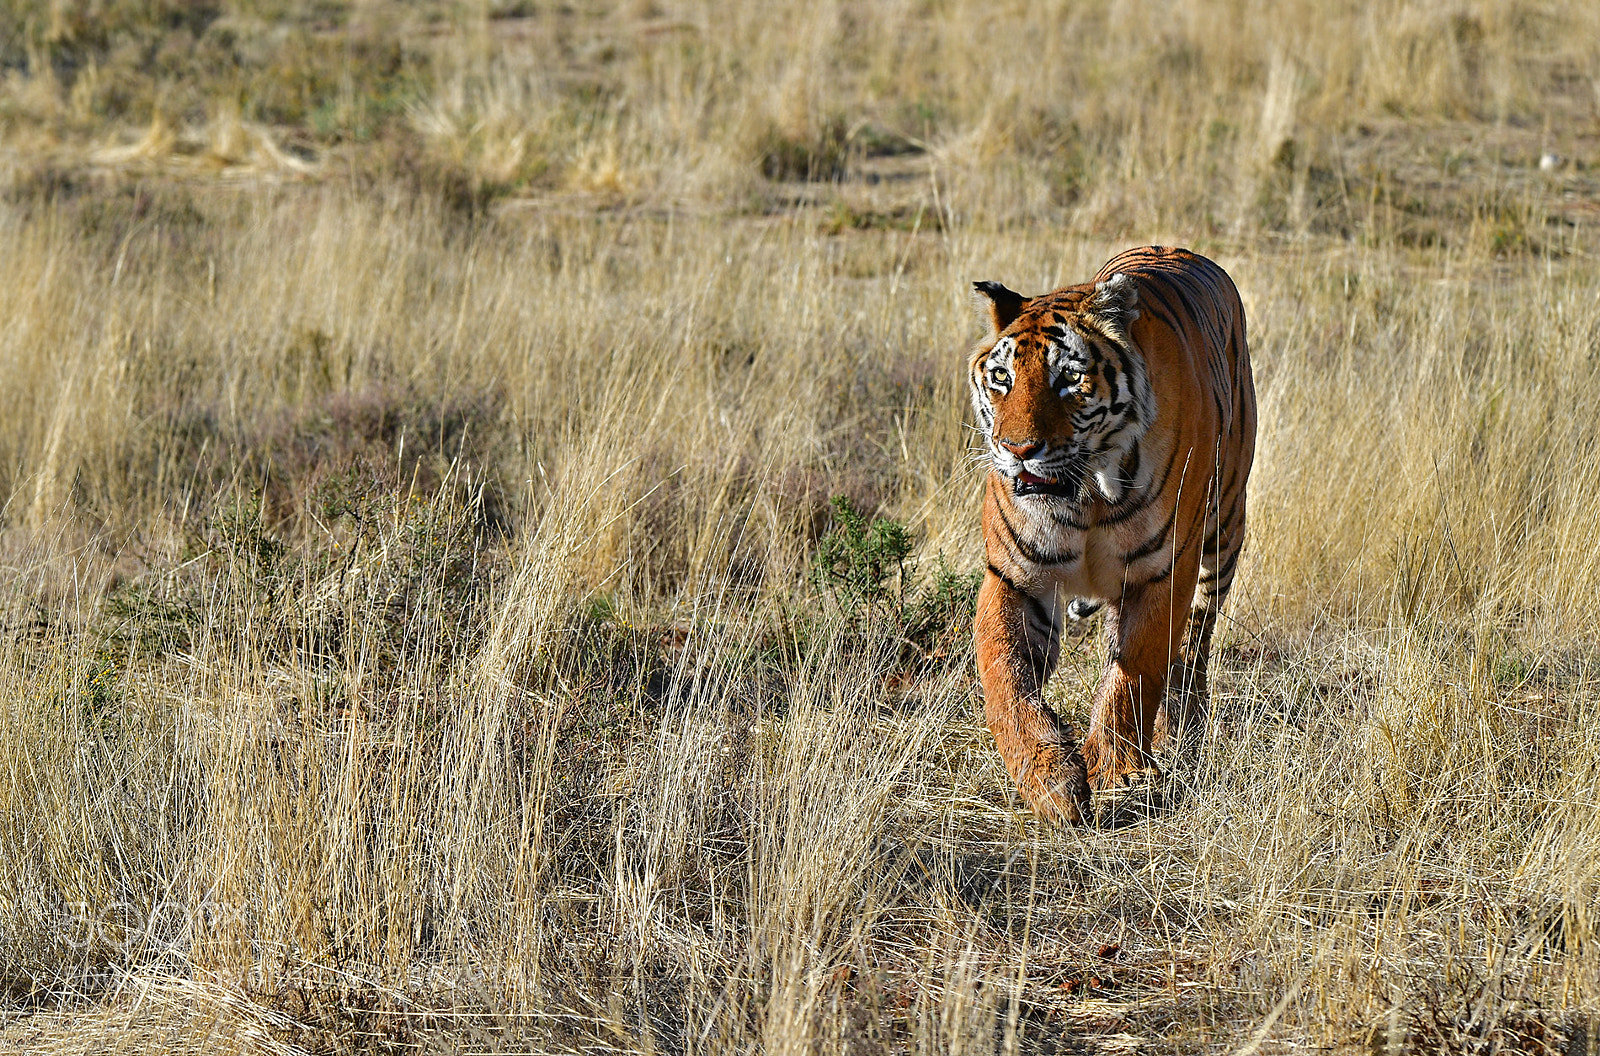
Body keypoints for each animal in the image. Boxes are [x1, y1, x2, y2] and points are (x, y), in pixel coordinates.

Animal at [967, 246, 1256, 824]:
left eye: (1069, 379)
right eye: (1001, 378)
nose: (1016, 449)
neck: (1086, 495)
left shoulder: (1162, 573)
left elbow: (1134, 672)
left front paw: (1116, 775)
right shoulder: (1014, 576)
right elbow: (1005, 674)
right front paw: (1049, 778)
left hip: (1223, 532)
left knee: (1196, 640)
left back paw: (1182, 723)